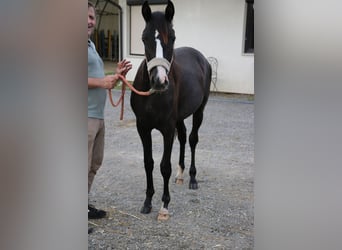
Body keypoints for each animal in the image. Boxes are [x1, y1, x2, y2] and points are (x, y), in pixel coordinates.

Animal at [131, 0, 211, 220]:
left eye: (173, 37)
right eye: (144, 38)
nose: (159, 81)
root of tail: (201, 57)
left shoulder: (167, 129)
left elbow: (164, 167)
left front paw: (164, 205)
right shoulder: (143, 128)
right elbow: (148, 163)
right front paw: (148, 201)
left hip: (199, 111)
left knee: (192, 139)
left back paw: (192, 178)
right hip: (180, 117)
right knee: (183, 136)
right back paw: (181, 174)